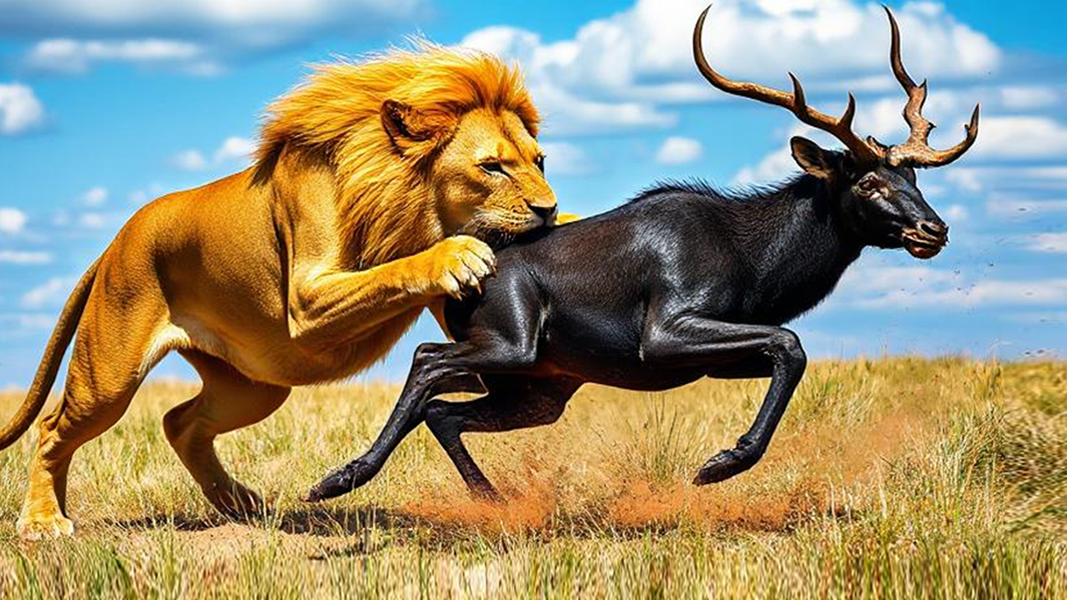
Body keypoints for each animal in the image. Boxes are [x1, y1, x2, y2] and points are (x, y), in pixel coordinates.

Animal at [0, 44, 569, 539]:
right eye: (491, 166)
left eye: (539, 161)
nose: (549, 210)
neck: (410, 206)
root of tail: (114, 242)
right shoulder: (307, 301)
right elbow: (396, 270)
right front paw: (457, 255)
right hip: (110, 376)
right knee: (53, 428)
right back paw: (44, 522)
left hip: (254, 388)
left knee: (180, 422)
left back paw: (239, 504)